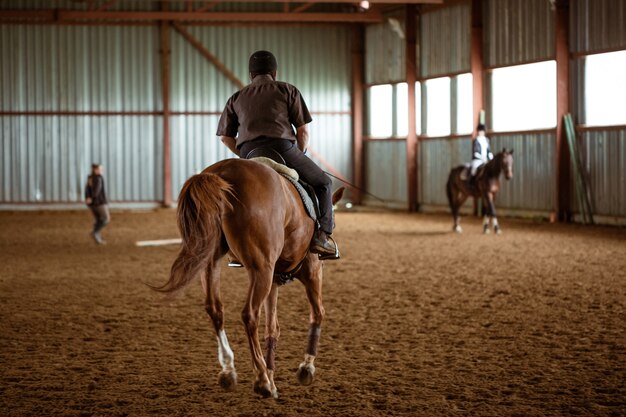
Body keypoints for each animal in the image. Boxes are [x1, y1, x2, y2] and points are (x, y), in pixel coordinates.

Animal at [153, 158, 344, 398]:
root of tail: (221, 172)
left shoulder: (275, 279)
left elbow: (272, 329)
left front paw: (272, 373)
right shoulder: (312, 270)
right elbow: (318, 313)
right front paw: (305, 369)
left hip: (212, 261)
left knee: (215, 309)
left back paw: (229, 371)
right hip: (261, 268)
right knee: (249, 314)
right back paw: (262, 381)